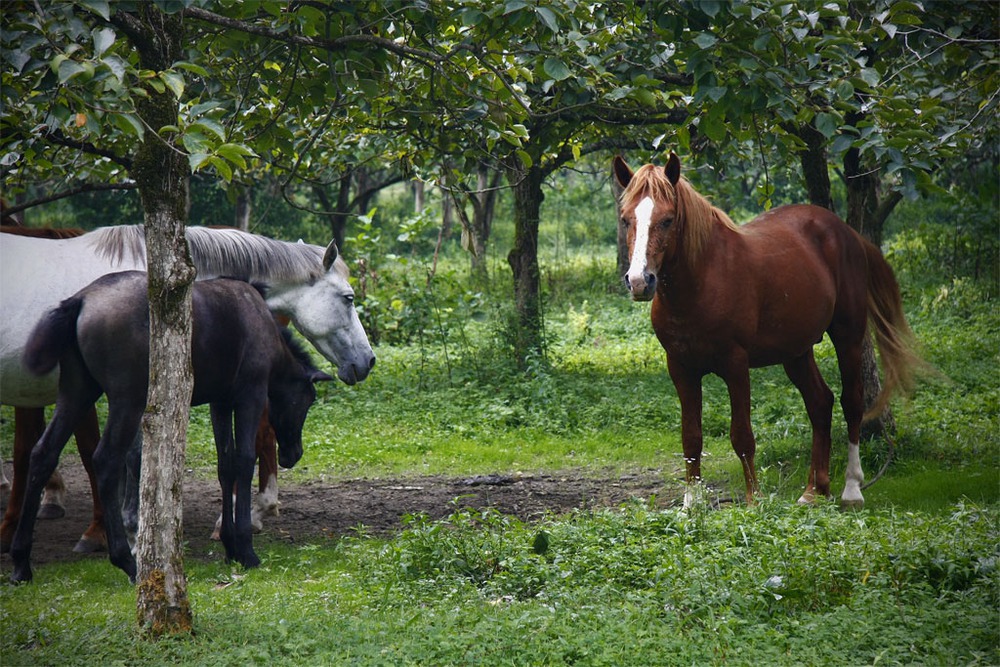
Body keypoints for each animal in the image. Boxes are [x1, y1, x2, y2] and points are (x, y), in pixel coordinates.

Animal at [10, 272, 332, 584]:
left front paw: (229, 545)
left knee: (43, 453)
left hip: (77, 391)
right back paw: (127, 562)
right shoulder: (249, 395)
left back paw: (21, 563)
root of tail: (80, 301)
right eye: (308, 400)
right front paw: (245, 549)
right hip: (126, 398)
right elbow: (243, 461)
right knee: (106, 460)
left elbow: (225, 466)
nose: (293, 454)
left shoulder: (220, 401)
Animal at [612, 154, 924, 508]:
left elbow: (742, 435)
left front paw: (754, 501)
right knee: (821, 403)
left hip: (848, 335)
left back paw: (851, 489)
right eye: (626, 220)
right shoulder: (681, 368)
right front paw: (691, 505)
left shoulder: (735, 365)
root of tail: (848, 233)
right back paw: (814, 490)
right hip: (796, 352)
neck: (703, 281)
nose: (640, 282)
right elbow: (691, 438)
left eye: (667, 220)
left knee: (852, 402)